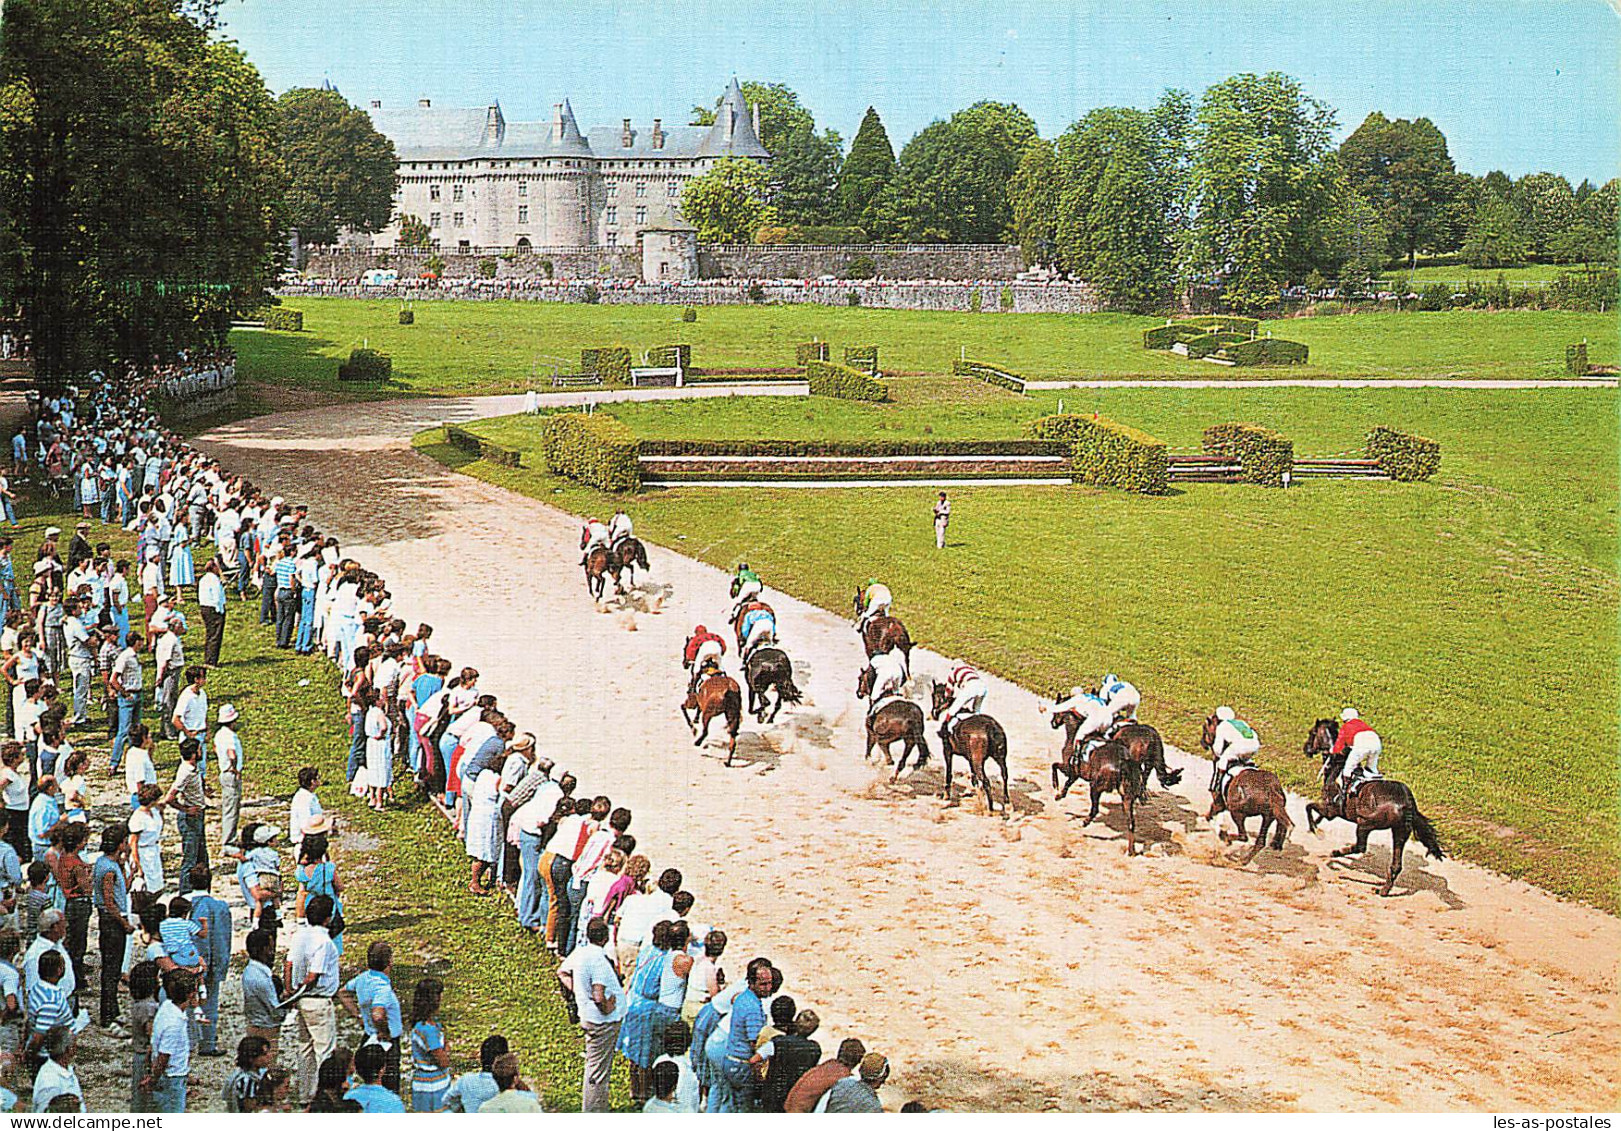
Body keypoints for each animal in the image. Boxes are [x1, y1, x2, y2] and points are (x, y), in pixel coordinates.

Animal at [933, 677, 1005, 810]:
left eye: (933, 694)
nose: (934, 713)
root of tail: (991, 727)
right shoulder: (970, 757)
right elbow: (974, 778)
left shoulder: (947, 750)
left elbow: (949, 772)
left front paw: (946, 795)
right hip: (999, 757)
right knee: (1004, 775)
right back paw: (1007, 803)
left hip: (978, 760)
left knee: (986, 781)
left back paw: (990, 809)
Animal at [1043, 709, 1147, 849]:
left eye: (1056, 713)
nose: (1052, 722)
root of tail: (1123, 761)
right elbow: (1063, 777)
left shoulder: (1070, 770)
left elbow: (1056, 768)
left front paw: (1057, 791)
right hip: (1127, 797)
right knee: (1131, 822)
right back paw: (1131, 850)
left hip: (1095, 787)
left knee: (1095, 809)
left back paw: (1085, 821)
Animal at [1199, 709, 1296, 862]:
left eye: (1205, 728)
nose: (1202, 742)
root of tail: (1271, 791)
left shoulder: (1219, 803)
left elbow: (1211, 813)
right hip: (1268, 816)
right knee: (1261, 841)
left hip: (1237, 812)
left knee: (1244, 836)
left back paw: (1226, 837)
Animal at [1303, 719, 1445, 894]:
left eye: (1312, 733)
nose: (1306, 749)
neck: (1337, 765)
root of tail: (1407, 803)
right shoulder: (1331, 809)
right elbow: (1316, 812)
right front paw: (1315, 826)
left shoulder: (1331, 809)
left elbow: (1309, 807)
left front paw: (1316, 831)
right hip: (1400, 832)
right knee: (1396, 865)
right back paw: (1384, 890)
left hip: (1365, 824)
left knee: (1360, 847)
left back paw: (1337, 853)